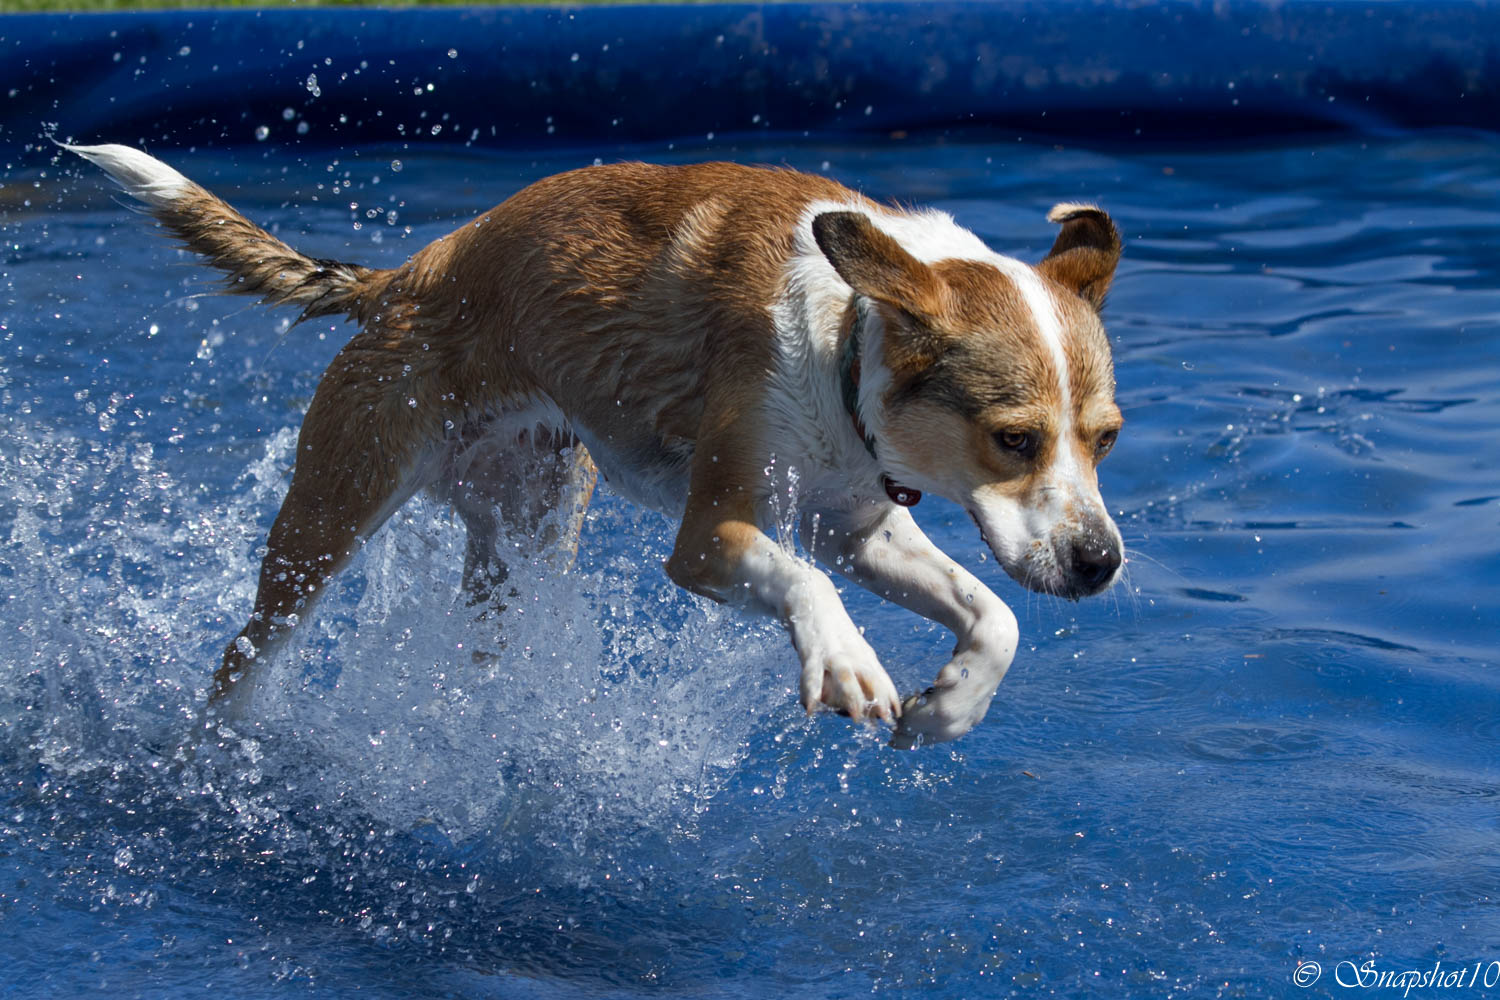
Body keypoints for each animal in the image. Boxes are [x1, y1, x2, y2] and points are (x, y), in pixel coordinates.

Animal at [70, 142, 1128, 749]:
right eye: (1014, 439)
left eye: (1107, 440)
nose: (1101, 563)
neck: (843, 332)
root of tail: (401, 278)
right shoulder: (711, 536)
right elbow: (802, 581)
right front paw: (846, 661)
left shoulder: (856, 523)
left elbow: (996, 614)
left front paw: (950, 706)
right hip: (326, 521)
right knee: (245, 659)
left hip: (526, 536)